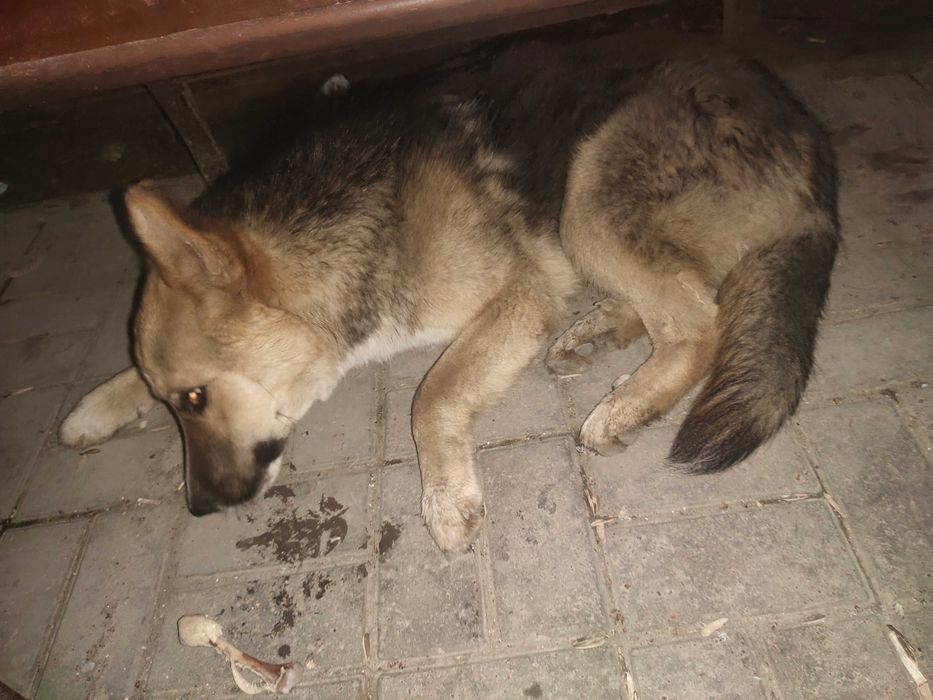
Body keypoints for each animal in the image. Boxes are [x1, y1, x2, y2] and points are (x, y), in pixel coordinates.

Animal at [59, 54, 839, 553]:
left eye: (197, 399)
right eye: (174, 403)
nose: (198, 507)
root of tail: (809, 135)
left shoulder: (518, 296)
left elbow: (431, 398)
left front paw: (444, 493)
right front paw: (99, 403)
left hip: (586, 191)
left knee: (698, 318)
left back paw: (625, 404)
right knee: (673, 297)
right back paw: (596, 334)